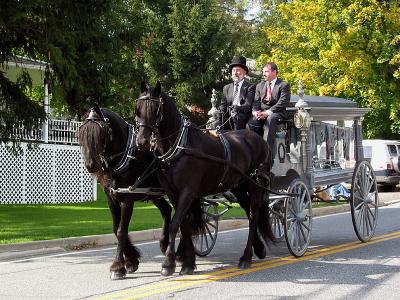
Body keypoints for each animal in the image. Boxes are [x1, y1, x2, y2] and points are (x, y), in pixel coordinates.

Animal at [135, 81, 276, 276]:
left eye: (156, 109)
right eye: (138, 109)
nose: (142, 141)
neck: (179, 147)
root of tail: (260, 140)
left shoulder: (188, 192)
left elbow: (174, 225)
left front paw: (168, 264)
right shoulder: (173, 193)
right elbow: (184, 226)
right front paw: (187, 263)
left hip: (256, 184)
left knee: (254, 215)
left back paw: (246, 258)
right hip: (239, 187)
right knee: (249, 213)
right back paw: (259, 248)